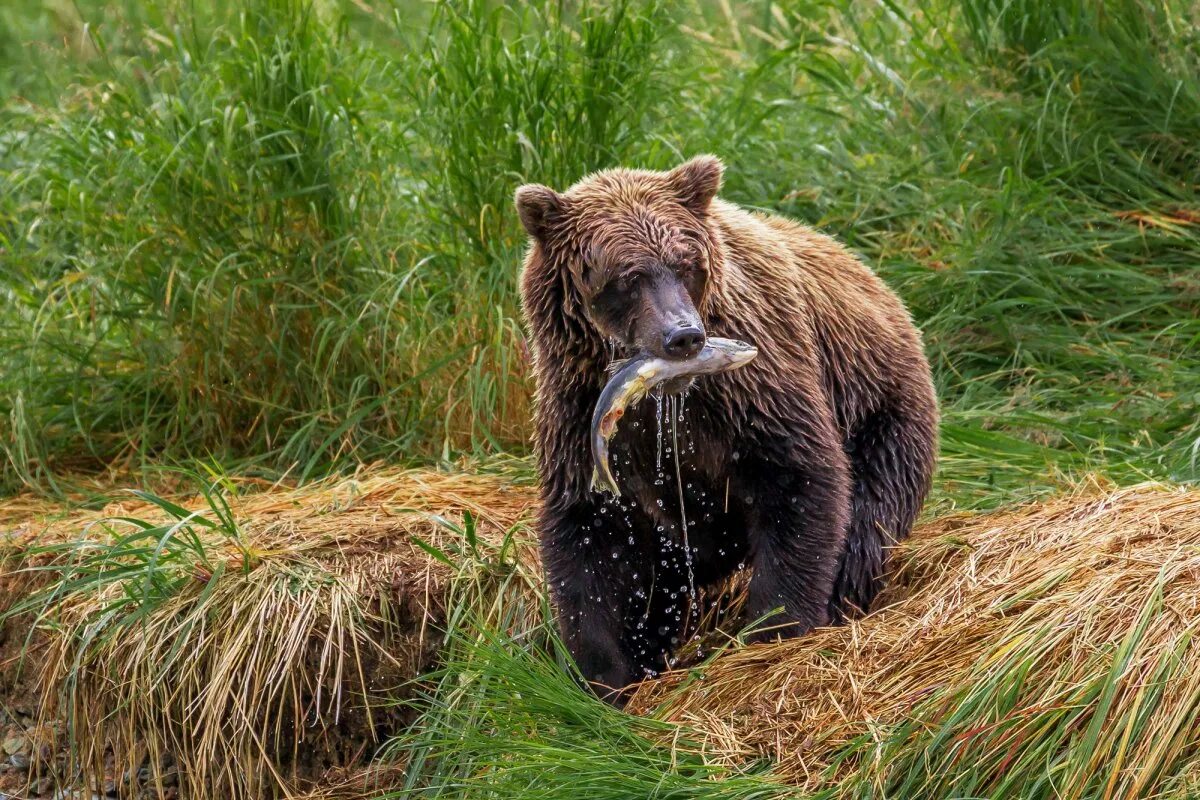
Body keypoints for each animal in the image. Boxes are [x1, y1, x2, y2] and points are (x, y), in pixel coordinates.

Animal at [513, 155, 936, 700]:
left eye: (684, 264)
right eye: (627, 276)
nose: (683, 336)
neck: (667, 397)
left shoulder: (756, 385)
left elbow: (800, 480)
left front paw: (774, 629)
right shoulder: (578, 414)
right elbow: (592, 540)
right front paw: (605, 673)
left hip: (880, 407)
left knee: (866, 522)